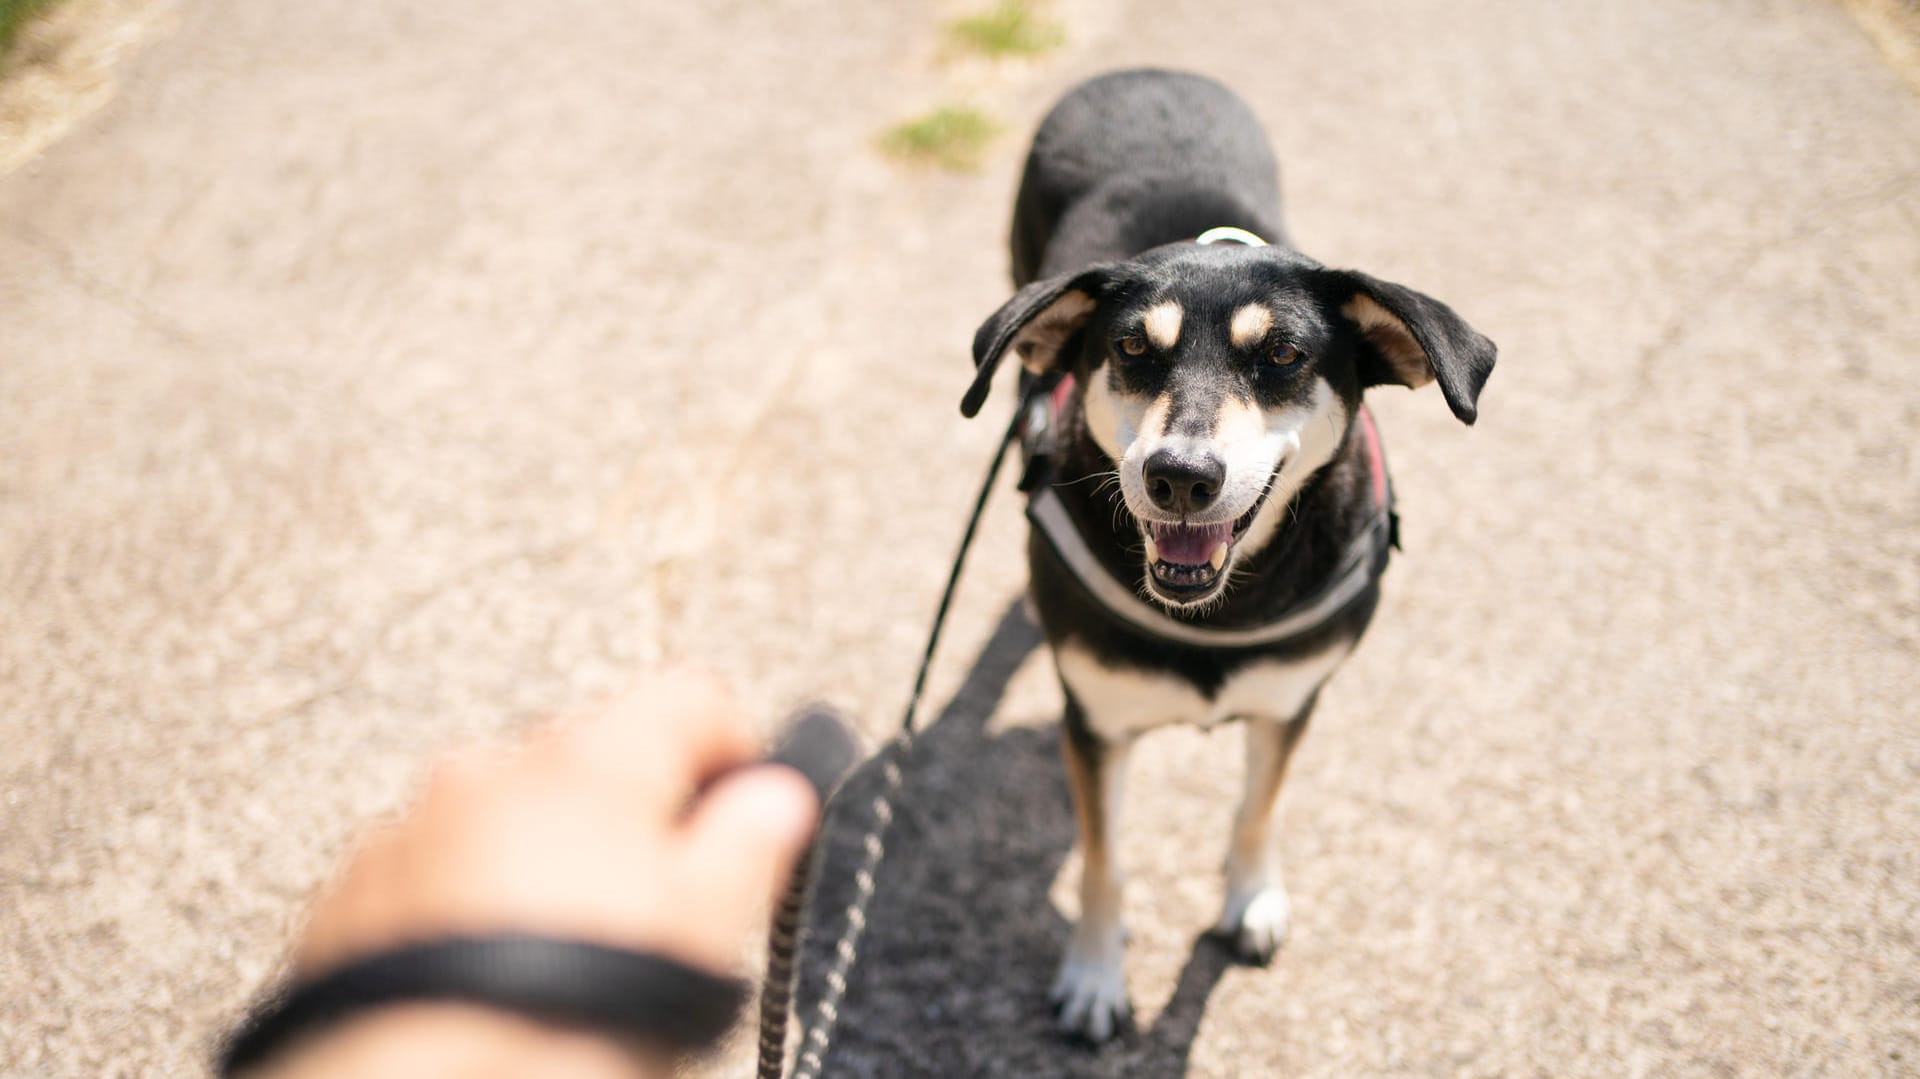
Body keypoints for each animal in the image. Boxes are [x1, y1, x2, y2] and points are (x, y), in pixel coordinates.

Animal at [960, 69, 1497, 1044]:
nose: (1180, 477)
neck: (1218, 608)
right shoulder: (1094, 722)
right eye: (1131, 346)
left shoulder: (1293, 699)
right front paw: (1095, 975)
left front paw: (1249, 900)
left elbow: (1259, 804)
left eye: (1283, 352)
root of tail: (1143, 72)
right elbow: (1104, 860)